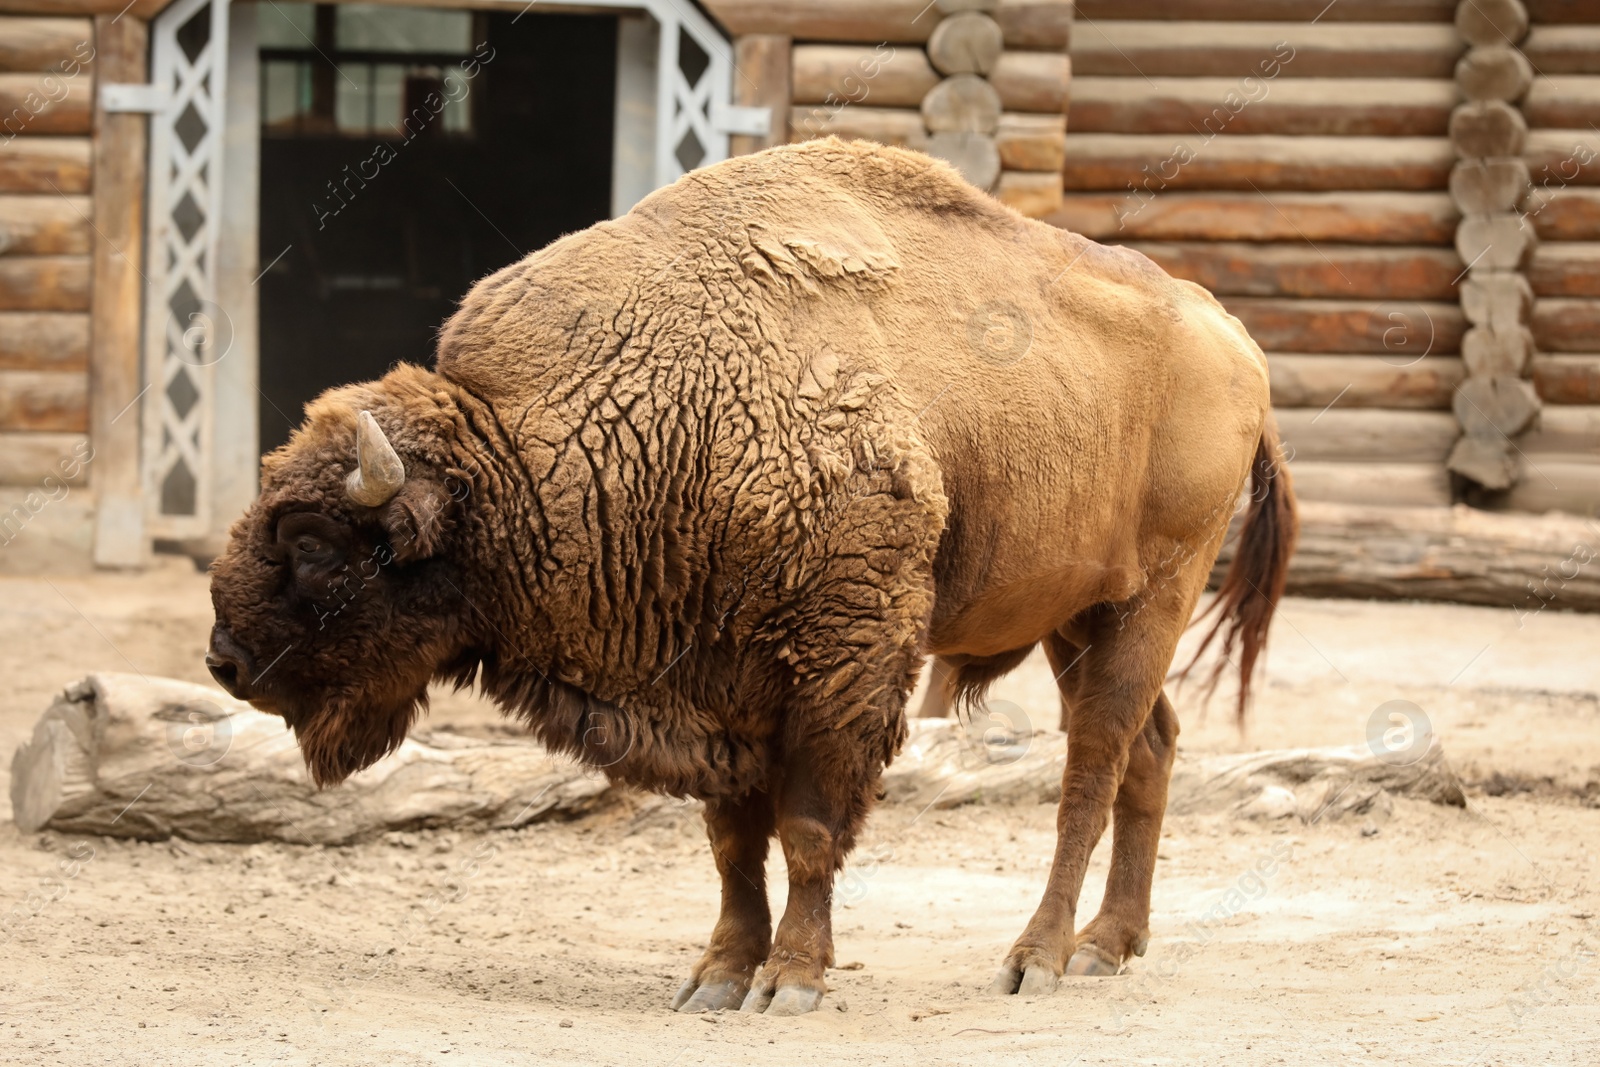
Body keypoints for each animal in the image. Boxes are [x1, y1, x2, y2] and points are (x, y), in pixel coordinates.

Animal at [206, 137, 1292, 1017]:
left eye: (314, 541)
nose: (224, 659)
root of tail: (1229, 333)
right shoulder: (710, 682)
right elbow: (733, 841)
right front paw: (718, 974)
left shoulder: (839, 667)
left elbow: (808, 826)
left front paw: (793, 979)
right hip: (1077, 612)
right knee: (1151, 748)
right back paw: (1111, 944)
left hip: (1154, 594)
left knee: (1092, 763)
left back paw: (1039, 956)